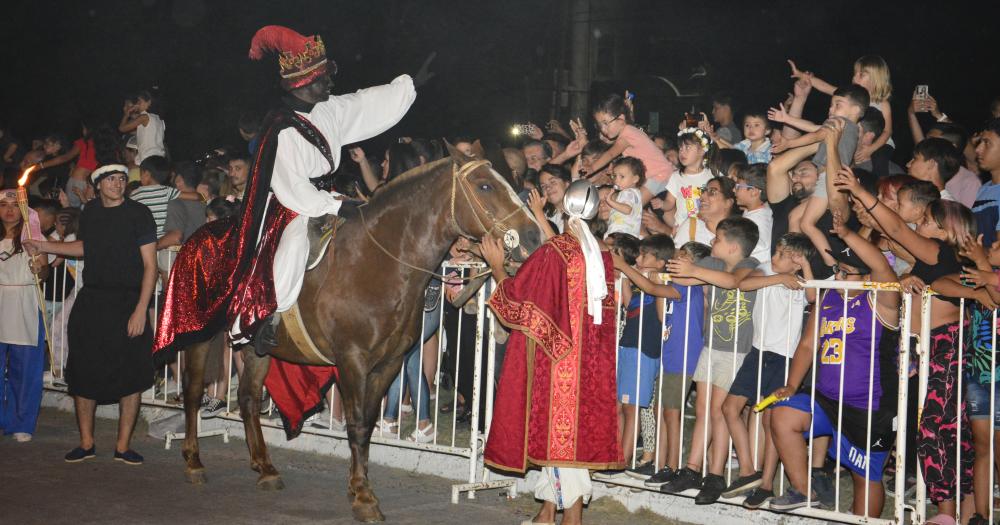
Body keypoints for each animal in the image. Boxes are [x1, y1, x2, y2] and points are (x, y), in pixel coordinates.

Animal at [176, 141, 544, 520]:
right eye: (485, 185)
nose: (534, 235)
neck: (379, 261)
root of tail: (198, 236)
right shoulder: (352, 360)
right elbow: (356, 423)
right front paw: (364, 498)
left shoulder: (389, 364)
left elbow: (366, 425)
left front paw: (359, 487)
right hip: (198, 334)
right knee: (192, 390)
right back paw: (194, 461)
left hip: (255, 347)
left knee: (249, 398)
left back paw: (265, 468)